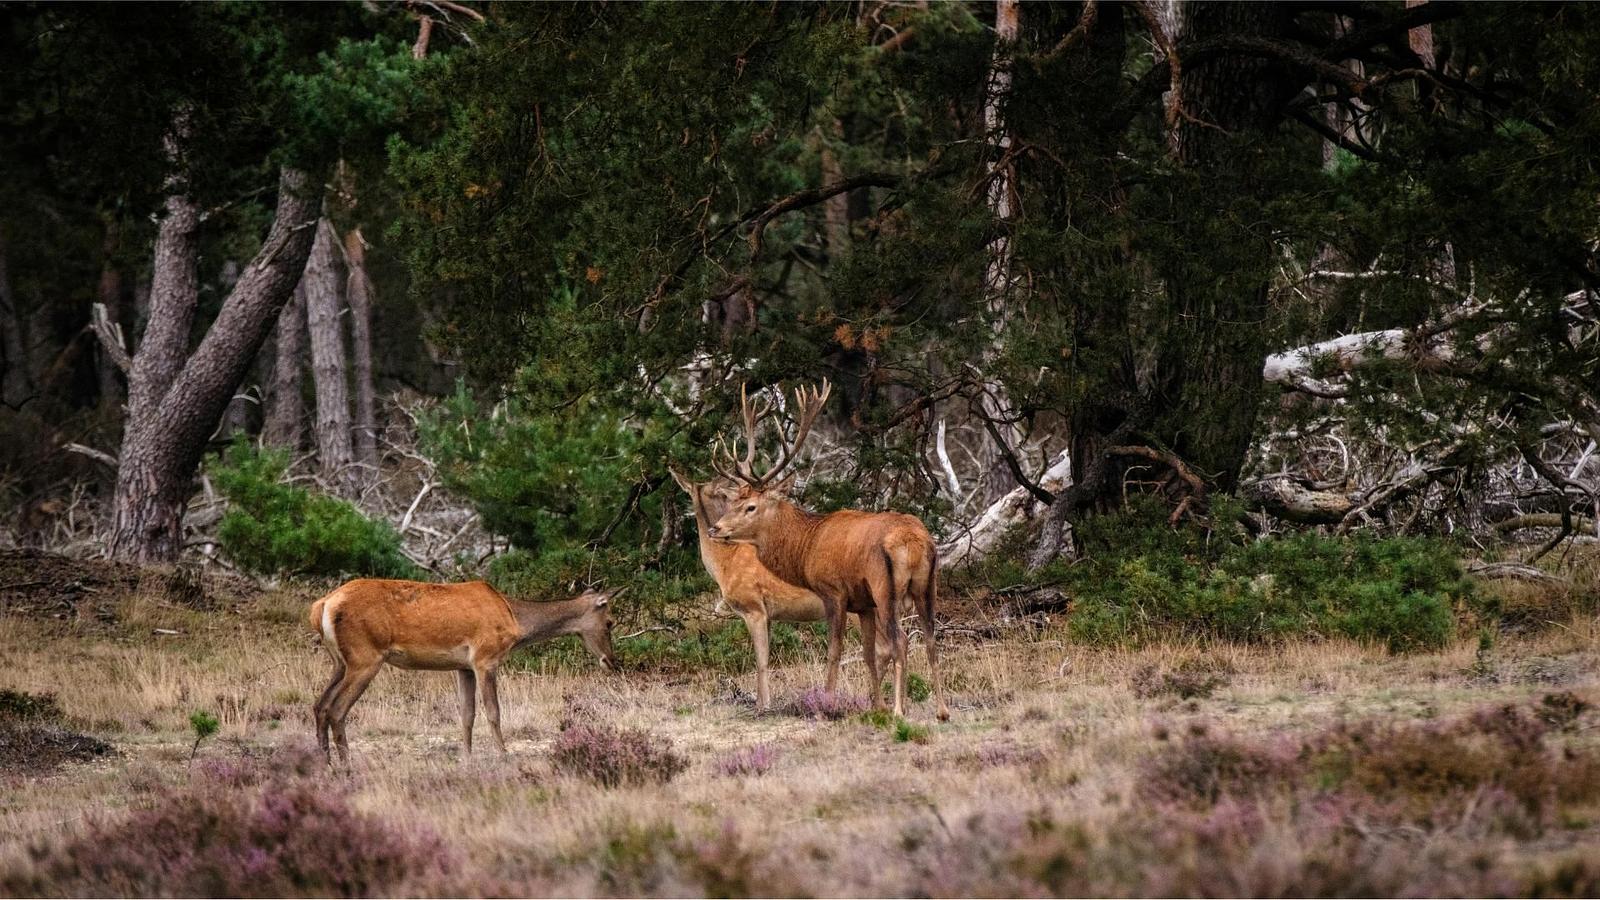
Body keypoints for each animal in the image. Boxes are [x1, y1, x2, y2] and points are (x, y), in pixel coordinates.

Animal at [307, 578, 618, 762]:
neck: (515, 622)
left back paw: (325, 762)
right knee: (337, 709)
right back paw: (346, 765)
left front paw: (466, 759)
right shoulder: (485, 658)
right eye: (610, 622)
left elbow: (467, 714)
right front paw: (503, 754)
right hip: (365, 657)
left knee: (319, 705)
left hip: (340, 661)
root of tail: (322, 606)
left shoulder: (463, 667)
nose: (612, 662)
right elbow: (493, 711)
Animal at [669, 469, 839, 711]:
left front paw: (762, 704)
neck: (724, 563)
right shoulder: (769, 615)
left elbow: (761, 660)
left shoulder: (753, 607)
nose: (714, 529)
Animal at [705, 380, 949, 721]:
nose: (715, 529)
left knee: (901, 640)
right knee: (930, 639)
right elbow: (868, 653)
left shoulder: (834, 591)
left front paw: (828, 702)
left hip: (885, 587)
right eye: (733, 502)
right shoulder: (863, 603)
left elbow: (835, 651)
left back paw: (901, 711)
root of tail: (914, 542)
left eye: (750, 506)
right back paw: (941, 710)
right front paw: (875, 705)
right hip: (927, 586)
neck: (807, 545)